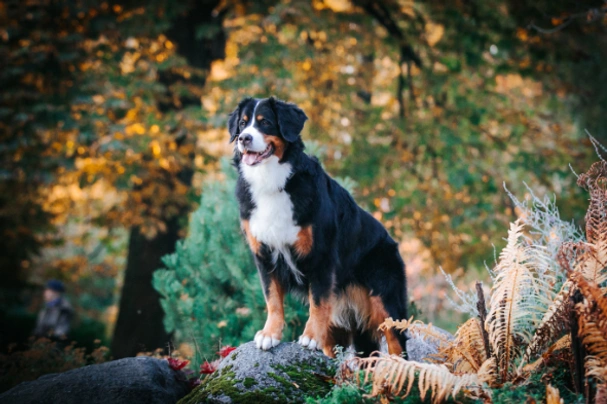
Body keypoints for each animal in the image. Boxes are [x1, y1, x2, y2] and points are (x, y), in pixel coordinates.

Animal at [230, 95, 410, 356]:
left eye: (265, 123)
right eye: (243, 124)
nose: (244, 138)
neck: (273, 183)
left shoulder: (321, 255)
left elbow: (318, 301)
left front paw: (310, 336)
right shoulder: (264, 254)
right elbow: (272, 299)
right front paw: (270, 334)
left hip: (385, 298)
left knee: (398, 347)